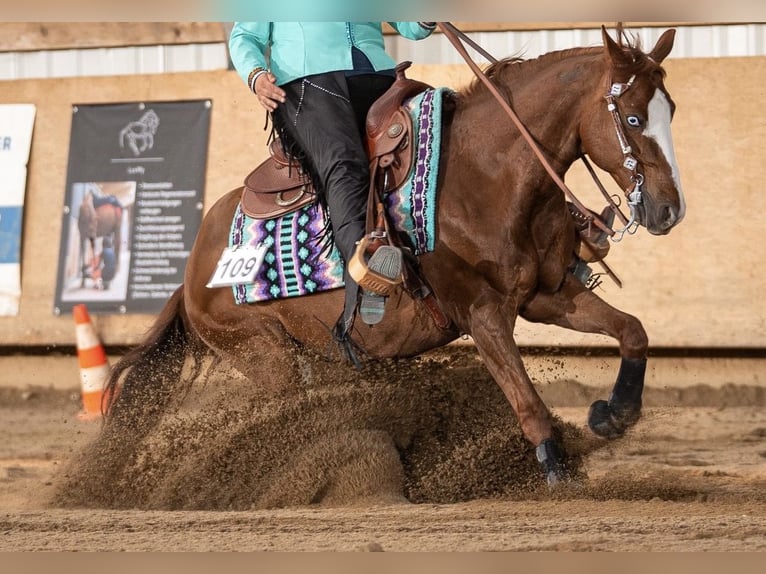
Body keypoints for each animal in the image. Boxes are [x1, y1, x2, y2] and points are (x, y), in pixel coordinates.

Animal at [103, 27, 684, 487]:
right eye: (633, 118)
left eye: (671, 110)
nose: (669, 209)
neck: (485, 173)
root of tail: (190, 273)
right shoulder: (481, 313)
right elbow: (529, 405)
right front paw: (558, 473)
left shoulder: (548, 294)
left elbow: (632, 331)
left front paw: (613, 414)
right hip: (267, 356)